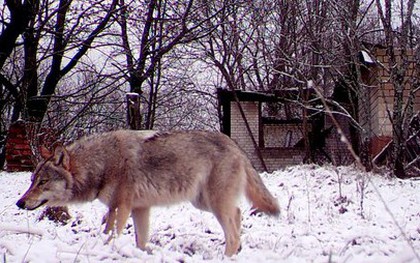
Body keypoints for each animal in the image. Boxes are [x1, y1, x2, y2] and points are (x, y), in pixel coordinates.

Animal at [16, 131, 278, 256]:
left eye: (43, 182)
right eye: (32, 181)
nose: (20, 203)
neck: (102, 163)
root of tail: (235, 145)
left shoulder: (119, 207)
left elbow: (110, 235)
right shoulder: (140, 208)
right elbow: (140, 241)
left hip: (213, 204)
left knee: (232, 231)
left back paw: (227, 256)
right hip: (203, 203)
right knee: (238, 213)